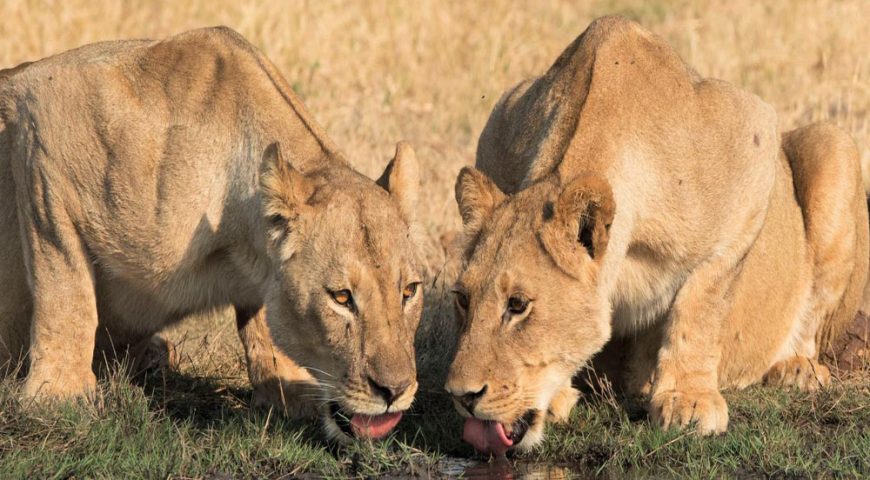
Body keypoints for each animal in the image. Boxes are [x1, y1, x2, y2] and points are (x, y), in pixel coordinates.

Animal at [0, 27, 425, 441]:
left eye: (409, 291)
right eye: (340, 297)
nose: (395, 391)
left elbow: (263, 323)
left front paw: (289, 389)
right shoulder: (45, 133)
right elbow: (65, 290)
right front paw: (58, 396)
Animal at [444, 16, 868, 455]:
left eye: (518, 305)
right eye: (462, 298)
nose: (461, 396)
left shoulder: (754, 143)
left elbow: (702, 300)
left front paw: (688, 400)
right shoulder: (498, 123)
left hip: (833, 145)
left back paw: (795, 368)